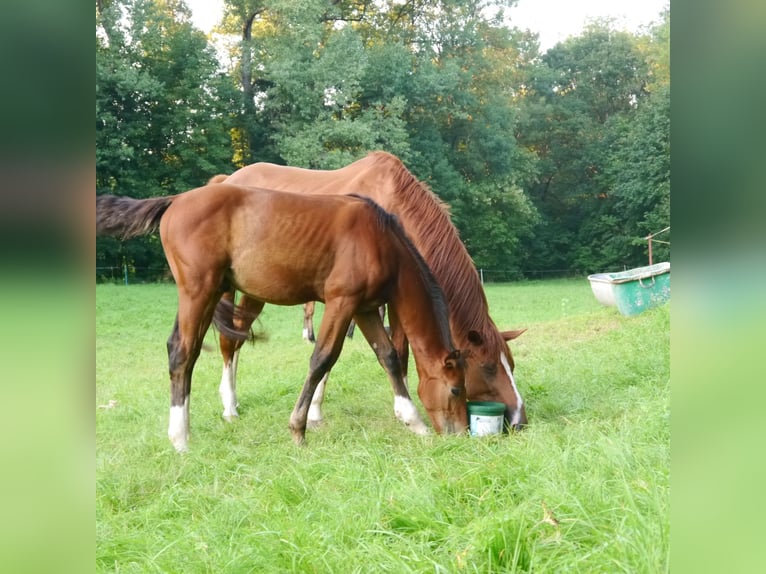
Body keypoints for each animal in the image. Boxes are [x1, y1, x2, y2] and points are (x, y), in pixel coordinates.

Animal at [96, 184, 468, 454]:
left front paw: (414, 422)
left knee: (190, 351)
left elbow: (388, 356)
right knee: (182, 353)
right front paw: (298, 429)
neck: (380, 240)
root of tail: (175, 200)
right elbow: (322, 359)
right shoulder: (341, 302)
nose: (461, 433)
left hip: (211, 294)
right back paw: (180, 439)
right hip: (198, 292)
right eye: (455, 389)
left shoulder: (363, 308)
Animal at [214, 153, 528, 432]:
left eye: (511, 365)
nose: (519, 420)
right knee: (230, 339)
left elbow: (393, 351)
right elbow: (374, 351)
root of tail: (228, 179)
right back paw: (229, 406)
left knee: (239, 335)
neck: (393, 207)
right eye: (488, 367)